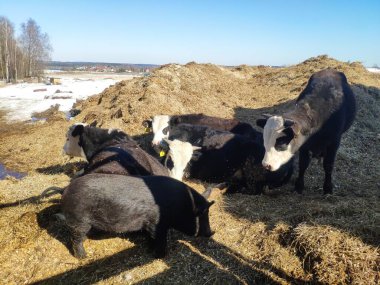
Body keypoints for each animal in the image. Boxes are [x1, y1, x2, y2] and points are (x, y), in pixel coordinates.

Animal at [59, 173, 214, 258]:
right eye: (200, 214)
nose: (211, 233)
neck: (180, 205)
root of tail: (65, 189)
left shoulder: (150, 225)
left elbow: (151, 238)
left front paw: (150, 249)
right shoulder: (156, 223)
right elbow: (160, 239)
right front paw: (161, 255)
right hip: (78, 220)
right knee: (75, 239)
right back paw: (83, 257)